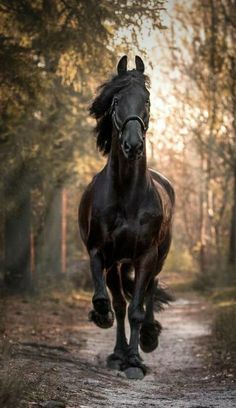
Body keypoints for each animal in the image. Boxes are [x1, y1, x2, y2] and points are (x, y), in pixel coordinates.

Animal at [78, 55, 174, 380]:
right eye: (116, 100)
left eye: (146, 100)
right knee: (122, 301)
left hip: (158, 258)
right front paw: (103, 319)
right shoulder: (101, 252)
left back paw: (149, 337)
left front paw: (135, 360)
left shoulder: (145, 256)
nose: (133, 145)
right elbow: (111, 302)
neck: (126, 195)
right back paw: (118, 349)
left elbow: (136, 309)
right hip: (120, 264)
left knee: (149, 293)